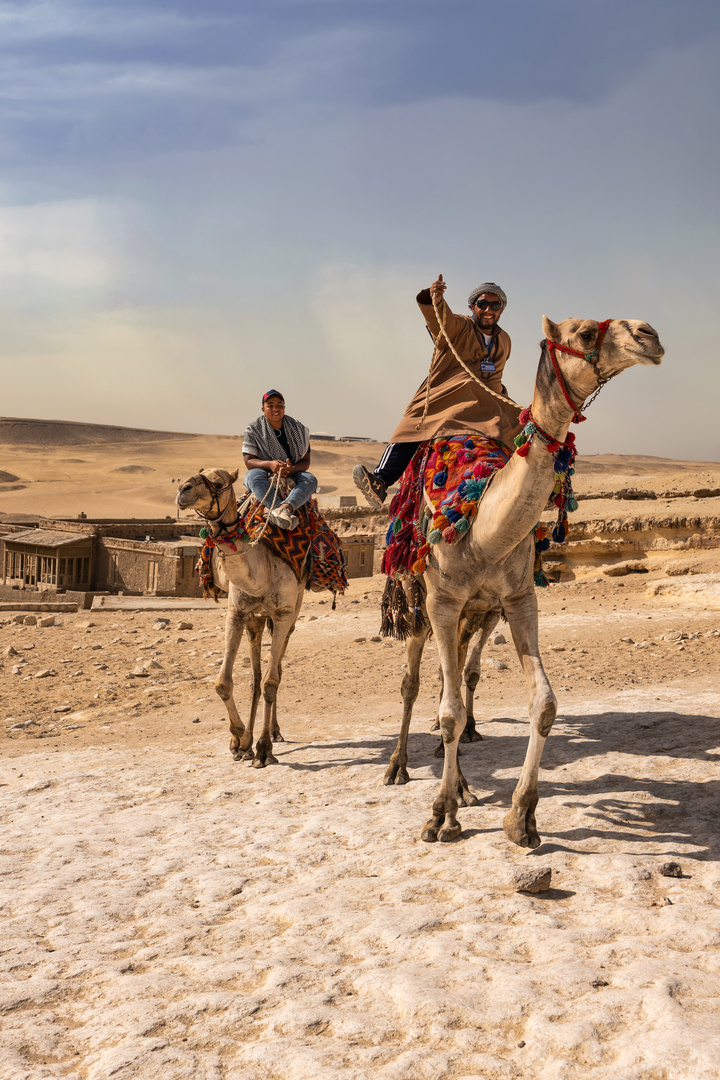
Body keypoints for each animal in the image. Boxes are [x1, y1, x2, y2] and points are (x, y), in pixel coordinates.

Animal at [179, 468, 308, 764]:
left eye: (218, 482)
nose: (182, 489)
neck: (261, 572)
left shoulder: (283, 614)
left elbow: (271, 681)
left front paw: (263, 749)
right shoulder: (236, 613)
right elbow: (223, 683)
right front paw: (239, 739)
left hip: (292, 614)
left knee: (275, 672)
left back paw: (273, 733)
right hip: (255, 620)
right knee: (255, 678)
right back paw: (247, 743)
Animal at [382, 315, 664, 846]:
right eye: (582, 332)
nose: (649, 335)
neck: (482, 530)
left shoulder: (517, 599)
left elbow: (544, 704)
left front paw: (521, 815)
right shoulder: (442, 601)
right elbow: (448, 711)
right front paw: (440, 816)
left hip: (476, 613)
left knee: (451, 680)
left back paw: (464, 784)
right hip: (416, 601)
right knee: (414, 682)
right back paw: (400, 767)